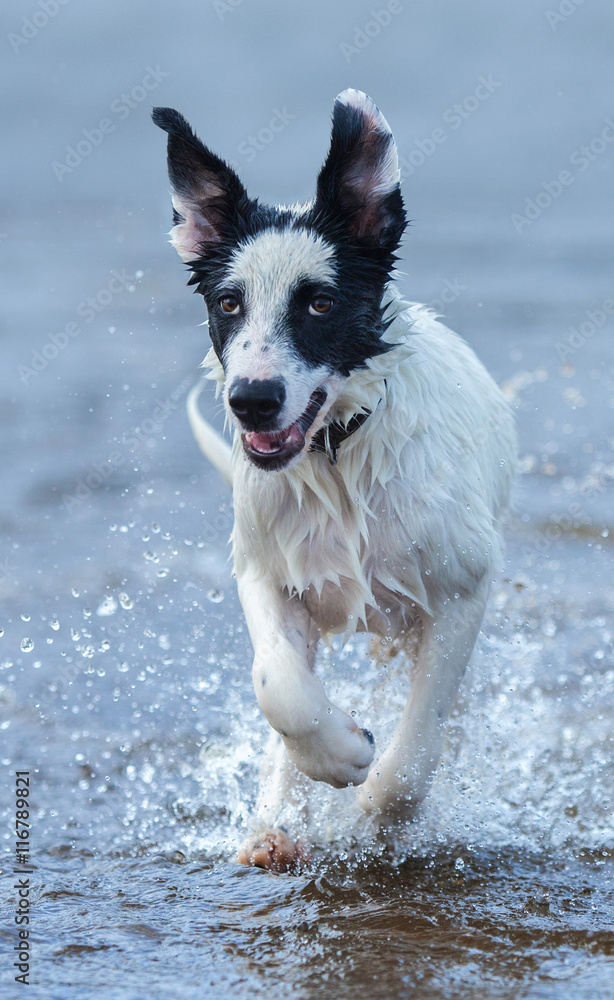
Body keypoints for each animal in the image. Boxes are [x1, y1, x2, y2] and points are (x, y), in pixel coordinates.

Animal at [152, 90, 516, 872]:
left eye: (319, 303)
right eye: (228, 303)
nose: (252, 400)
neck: (337, 457)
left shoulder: (461, 591)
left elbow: (413, 755)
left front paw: (370, 814)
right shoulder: (266, 569)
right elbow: (278, 687)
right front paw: (339, 753)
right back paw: (269, 827)